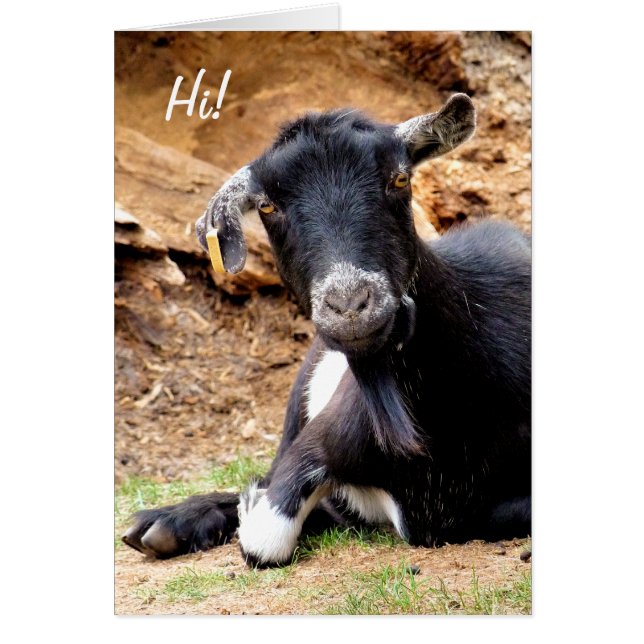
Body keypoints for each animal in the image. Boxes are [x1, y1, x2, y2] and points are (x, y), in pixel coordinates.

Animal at [122, 94, 531, 567]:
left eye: (399, 178)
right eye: (267, 206)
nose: (350, 305)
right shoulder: (318, 441)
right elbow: (265, 535)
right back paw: (164, 523)